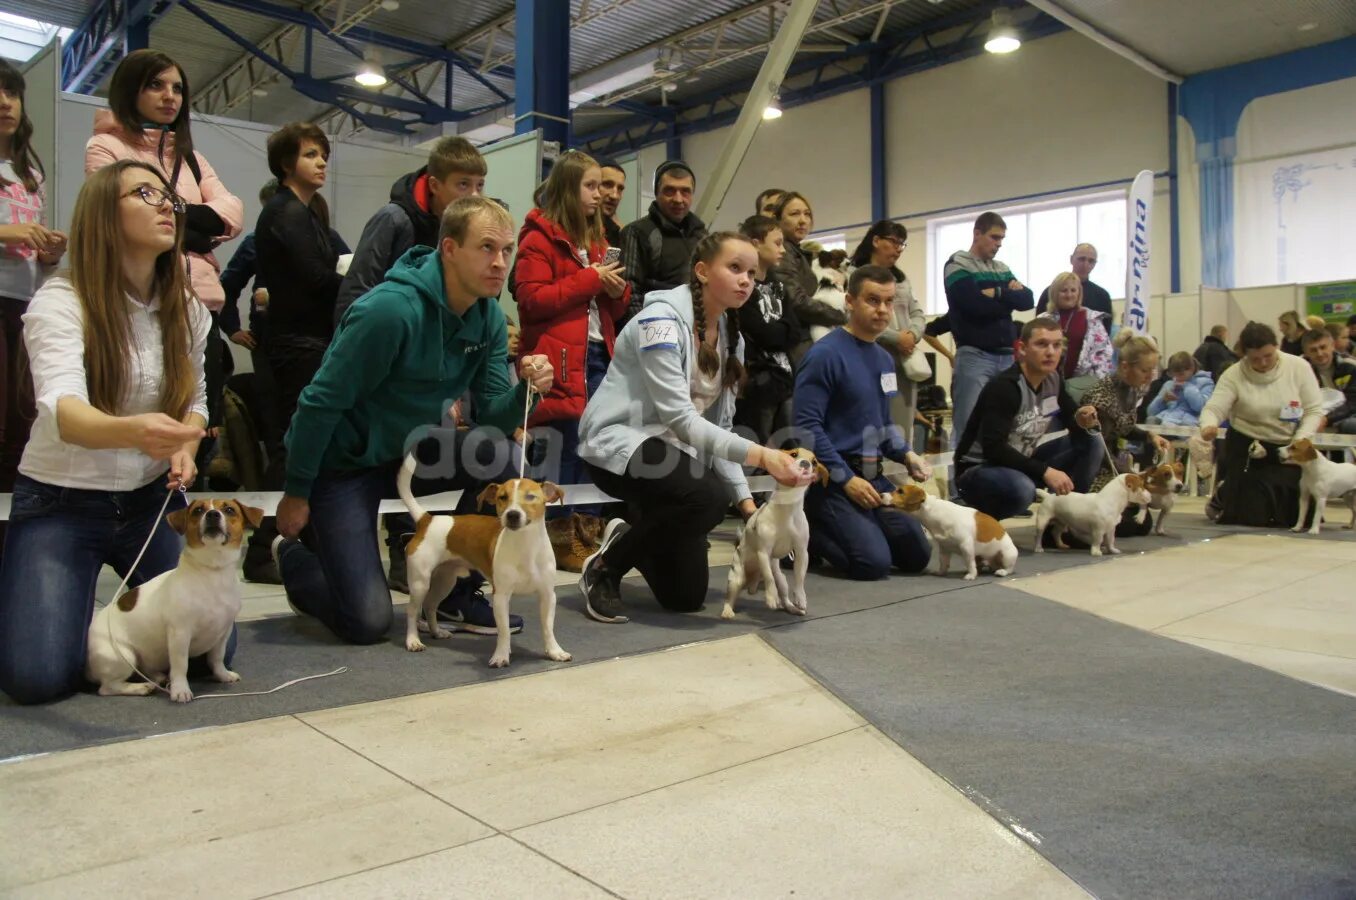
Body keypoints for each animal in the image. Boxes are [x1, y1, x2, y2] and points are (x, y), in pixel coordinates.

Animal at [87, 498, 264, 704]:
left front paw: (222, 675)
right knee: (108, 687)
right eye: (198, 510)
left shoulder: (223, 633)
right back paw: (140, 687)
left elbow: (217, 658)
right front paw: (180, 689)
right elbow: (180, 665)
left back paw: (157, 677)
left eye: (229, 509)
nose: (212, 514)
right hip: (124, 656)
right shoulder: (180, 634)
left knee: (144, 669)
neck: (212, 571)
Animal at [395, 452, 569, 664]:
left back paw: (437, 631)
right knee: (412, 611)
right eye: (503, 497)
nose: (512, 514)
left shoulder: (547, 596)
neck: (525, 546)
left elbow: (548, 628)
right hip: (420, 582)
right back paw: (413, 641)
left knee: (430, 606)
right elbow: (504, 631)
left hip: (445, 580)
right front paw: (501, 655)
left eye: (530, 497)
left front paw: (554, 651)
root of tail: (427, 520)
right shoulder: (501, 596)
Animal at [721, 444, 824, 618]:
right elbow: (769, 578)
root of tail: (752, 581)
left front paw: (800, 598)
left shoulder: (802, 552)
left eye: (814, 462)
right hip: (736, 578)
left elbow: (800, 578)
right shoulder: (764, 552)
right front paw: (771, 597)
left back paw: (793, 607)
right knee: (731, 597)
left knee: (784, 594)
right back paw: (727, 611)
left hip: (781, 580)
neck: (788, 508)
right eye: (793, 454)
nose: (805, 463)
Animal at [878, 487, 1019, 580]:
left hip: (1006, 555)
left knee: (1009, 568)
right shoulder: (944, 547)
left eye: (900, 491)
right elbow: (943, 562)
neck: (934, 513)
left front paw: (971, 575)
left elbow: (969, 562)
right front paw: (941, 572)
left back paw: (1001, 571)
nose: (880, 494)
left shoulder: (966, 546)